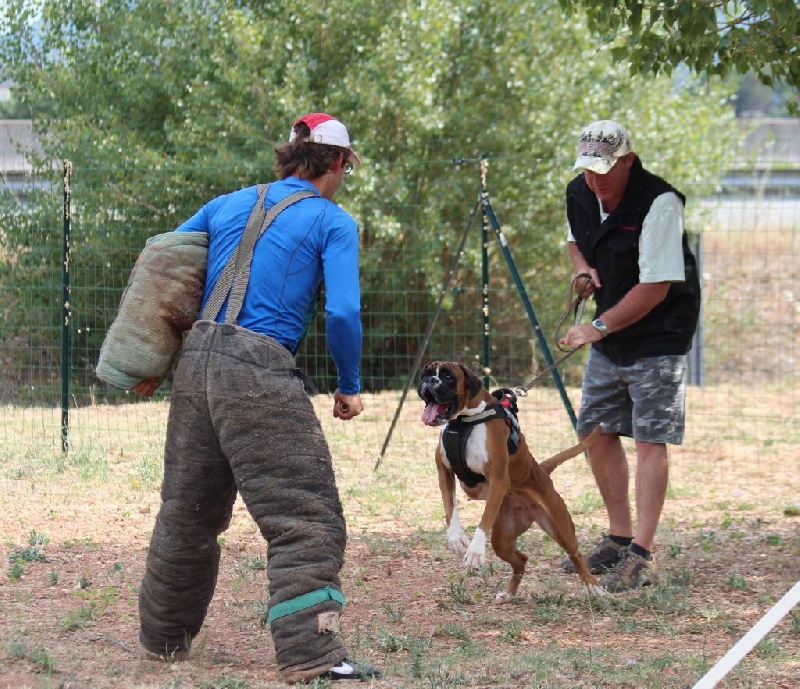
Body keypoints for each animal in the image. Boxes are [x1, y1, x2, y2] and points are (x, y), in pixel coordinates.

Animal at [418, 360, 600, 600]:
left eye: (448, 377)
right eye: (425, 375)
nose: (429, 381)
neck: (464, 421)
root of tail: (541, 470)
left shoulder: (498, 479)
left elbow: (483, 521)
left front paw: (475, 551)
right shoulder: (444, 472)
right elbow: (450, 507)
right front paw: (456, 537)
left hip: (561, 528)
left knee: (575, 554)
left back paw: (592, 585)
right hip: (502, 540)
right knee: (521, 560)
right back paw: (509, 594)